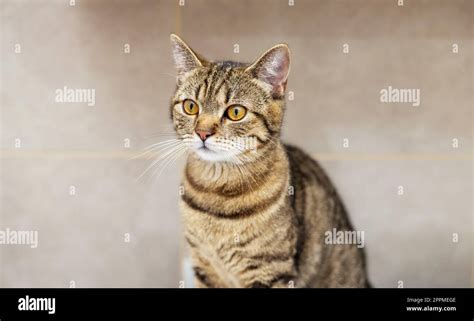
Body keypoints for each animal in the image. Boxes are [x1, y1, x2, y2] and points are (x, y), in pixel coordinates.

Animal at [168, 35, 368, 288]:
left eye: (235, 112)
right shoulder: (205, 267)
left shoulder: (269, 270)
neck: (218, 194)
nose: (202, 132)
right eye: (190, 106)